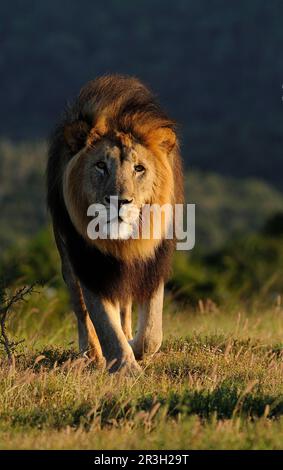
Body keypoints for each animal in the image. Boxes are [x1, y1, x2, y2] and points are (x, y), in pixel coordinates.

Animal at [47, 74, 184, 374]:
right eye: (101, 166)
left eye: (139, 168)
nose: (120, 201)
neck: (123, 240)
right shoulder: (89, 261)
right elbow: (104, 322)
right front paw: (125, 367)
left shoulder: (153, 261)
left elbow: (151, 332)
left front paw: (136, 349)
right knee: (80, 308)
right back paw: (92, 355)